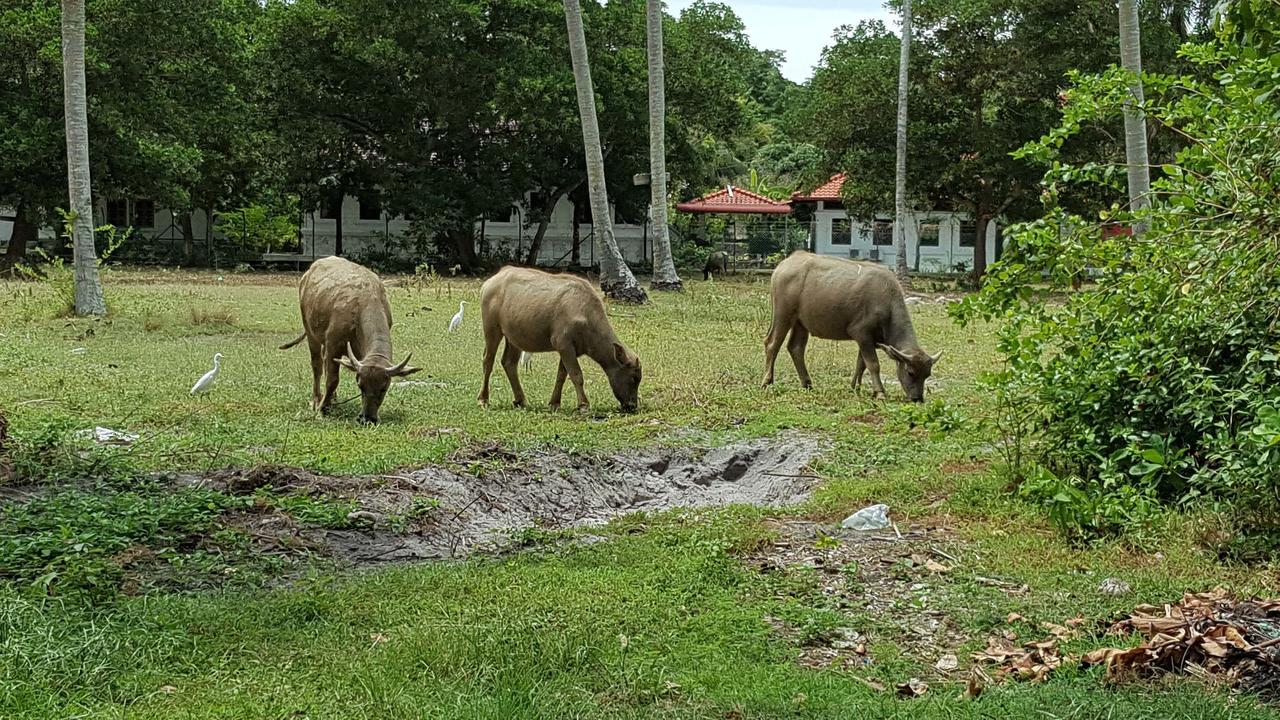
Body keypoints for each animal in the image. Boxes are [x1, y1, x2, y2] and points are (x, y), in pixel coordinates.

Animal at [280, 254, 419, 420]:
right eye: (361, 385)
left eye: (384, 388)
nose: (367, 418)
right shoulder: (333, 344)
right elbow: (333, 379)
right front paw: (322, 408)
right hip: (310, 330)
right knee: (317, 365)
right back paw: (317, 399)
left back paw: (332, 398)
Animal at [478, 263, 640, 409]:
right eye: (633, 378)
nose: (632, 405)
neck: (586, 314)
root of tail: (493, 280)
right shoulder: (564, 345)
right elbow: (576, 375)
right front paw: (583, 404)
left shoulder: (570, 349)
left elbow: (561, 376)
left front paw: (555, 402)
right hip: (492, 328)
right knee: (488, 360)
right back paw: (483, 399)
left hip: (513, 337)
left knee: (509, 363)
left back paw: (520, 400)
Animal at [757, 251, 942, 397]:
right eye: (910, 372)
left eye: (927, 375)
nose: (917, 398)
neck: (886, 304)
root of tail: (785, 263)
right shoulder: (861, 334)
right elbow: (873, 364)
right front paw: (880, 392)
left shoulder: (870, 340)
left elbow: (861, 364)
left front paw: (855, 387)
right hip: (783, 314)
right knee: (772, 343)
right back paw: (767, 382)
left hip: (801, 322)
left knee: (796, 348)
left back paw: (807, 383)